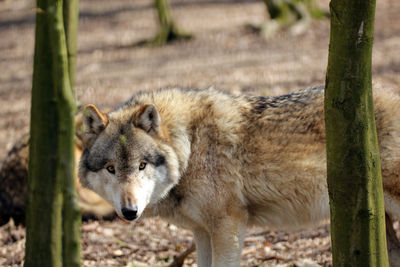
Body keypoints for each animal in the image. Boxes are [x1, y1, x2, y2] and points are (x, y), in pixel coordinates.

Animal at [79, 87, 400, 266]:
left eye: (142, 165)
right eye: (111, 169)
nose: (129, 211)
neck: (190, 146)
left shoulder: (228, 225)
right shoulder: (202, 232)